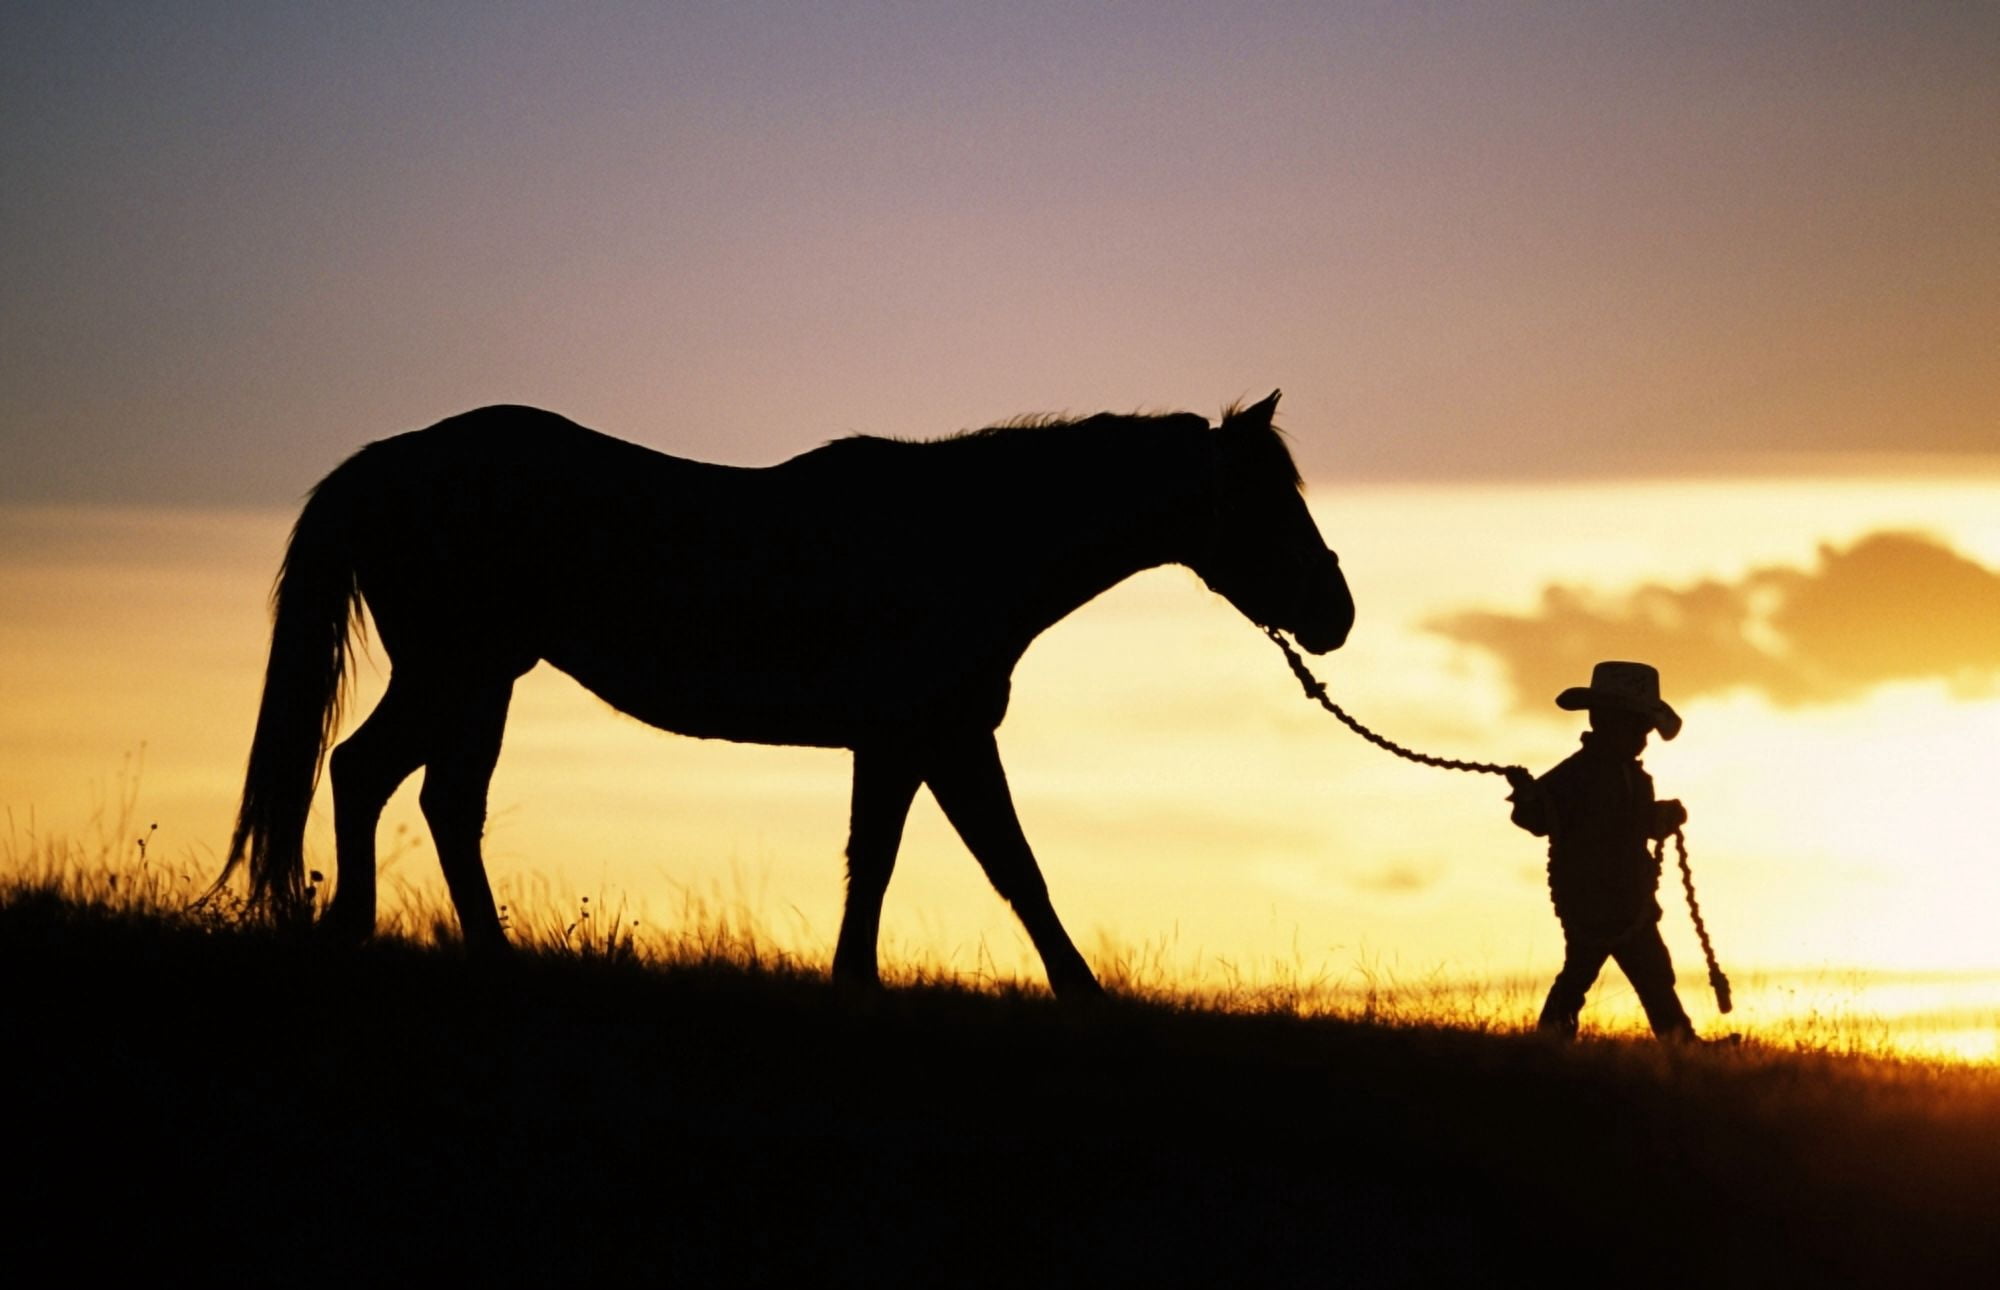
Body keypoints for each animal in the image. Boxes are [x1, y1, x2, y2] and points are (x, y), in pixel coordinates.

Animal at [220, 390, 1353, 997]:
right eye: (1271, 502)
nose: (1335, 612)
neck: (969, 536)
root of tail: (383, 462)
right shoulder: (936, 736)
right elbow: (1005, 869)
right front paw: (1083, 994)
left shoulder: (906, 743)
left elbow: (890, 862)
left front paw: (858, 983)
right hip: (457, 671)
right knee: (377, 776)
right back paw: (372, 933)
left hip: (477, 680)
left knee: (425, 795)